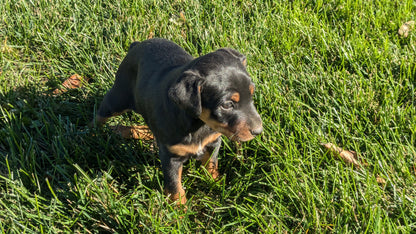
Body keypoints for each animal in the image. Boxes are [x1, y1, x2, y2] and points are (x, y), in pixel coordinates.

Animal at [96, 38, 262, 203]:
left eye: (252, 94)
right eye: (227, 105)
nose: (258, 131)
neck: (198, 124)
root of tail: (136, 45)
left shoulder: (213, 142)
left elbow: (211, 165)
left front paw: (216, 184)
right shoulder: (171, 158)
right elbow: (175, 186)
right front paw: (179, 208)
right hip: (118, 99)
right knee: (99, 114)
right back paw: (95, 135)